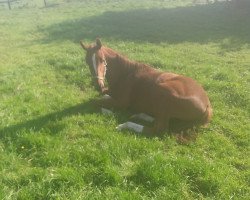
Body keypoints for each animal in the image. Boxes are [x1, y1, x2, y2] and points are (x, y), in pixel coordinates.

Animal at [79, 38, 211, 136]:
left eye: (102, 60)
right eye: (87, 62)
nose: (98, 85)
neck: (125, 74)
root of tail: (207, 105)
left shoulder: (121, 102)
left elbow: (94, 102)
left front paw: (109, 112)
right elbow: (104, 96)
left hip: (163, 92)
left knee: (157, 129)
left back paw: (125, 124)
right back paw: (138, 114)